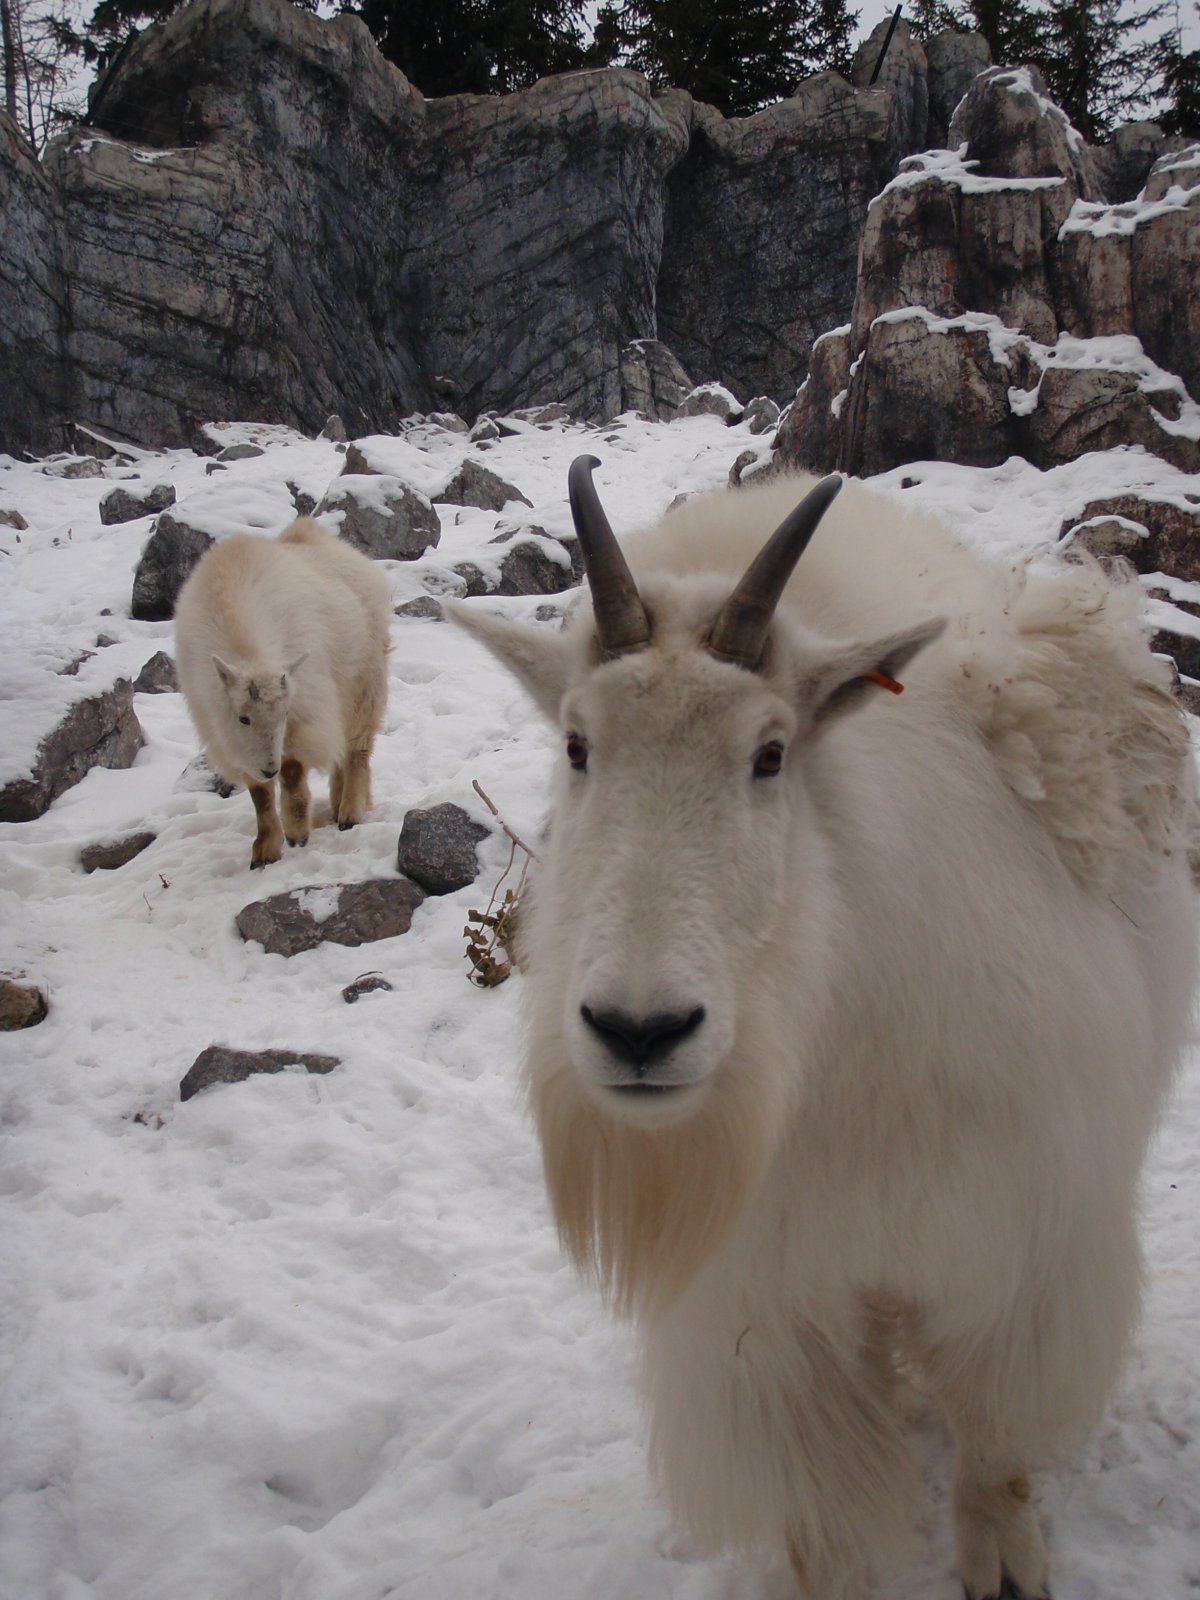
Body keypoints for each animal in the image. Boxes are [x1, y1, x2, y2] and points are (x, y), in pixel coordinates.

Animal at [176, 518, 390, 870]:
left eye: (284, 714)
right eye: (243, 718)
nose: (269, 768)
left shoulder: (305, 708)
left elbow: (291, 773)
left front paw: (297, 832)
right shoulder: (231, 737)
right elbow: (260, 796)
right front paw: (265, 851)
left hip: (365, 683)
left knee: (356, 751)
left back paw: (350, 811)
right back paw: (335, 804)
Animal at [454, 457, 1200, 1600]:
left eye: (770, 755)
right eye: (578, 747)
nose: (639, 1031)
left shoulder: (1020, 1252)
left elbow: (994, 1438)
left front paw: (1004, 1561)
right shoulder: (771, 1316)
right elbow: (824, 1513)